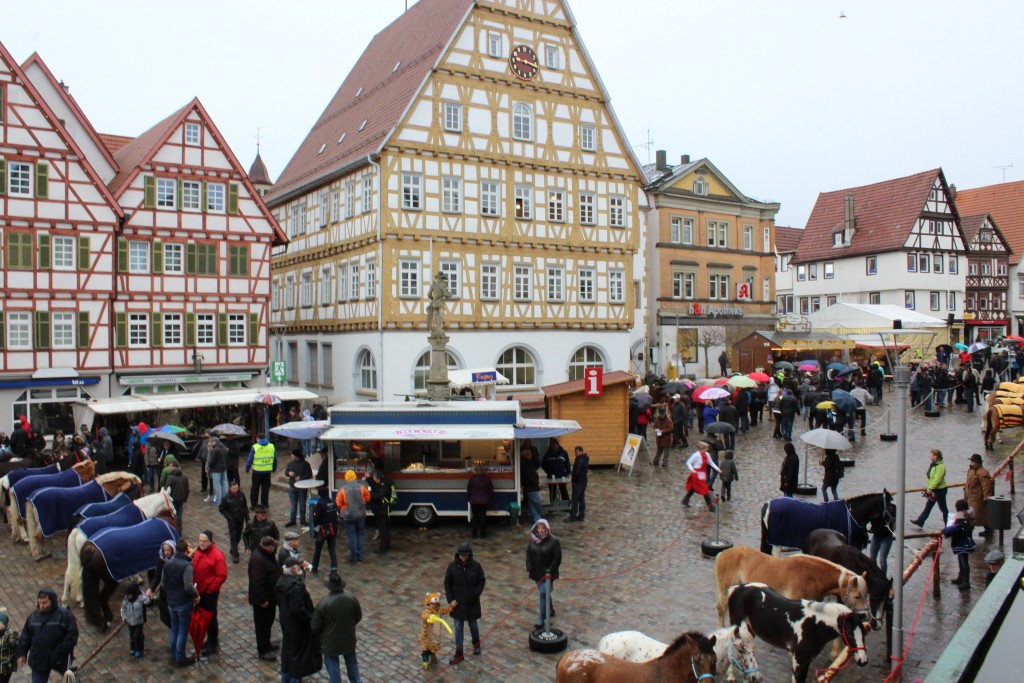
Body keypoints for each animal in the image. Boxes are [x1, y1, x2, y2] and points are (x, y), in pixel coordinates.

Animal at [716, 540, 868, 626]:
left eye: (866, 595)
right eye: (857, 596)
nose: (865, 616)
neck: (810, 576)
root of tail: (722, 553)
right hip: (724, 591)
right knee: (721, 609)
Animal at [724, 581, 868, 683]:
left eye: (863, 632)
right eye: (848, 633)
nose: (863, 661)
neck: (814, 625)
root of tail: (737, 588)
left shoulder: (807, 659)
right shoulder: (799, 659)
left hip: (750, 629)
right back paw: (731, 676)